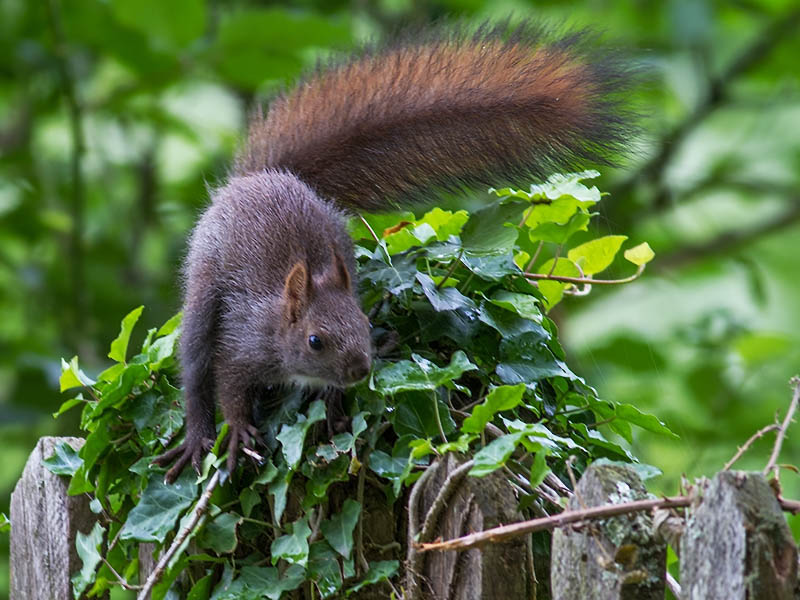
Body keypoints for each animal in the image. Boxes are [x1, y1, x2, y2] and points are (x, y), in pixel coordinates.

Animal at [153, 22, 636, 482]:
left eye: (364, 324)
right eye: (315, 341)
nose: (359, 369)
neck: (281, 327)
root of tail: (259, 178)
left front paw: (334, 411)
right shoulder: (243, 342)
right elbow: (229, 383)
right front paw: (236, 429)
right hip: (204, 281)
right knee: (195, 366)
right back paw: (196, 438)